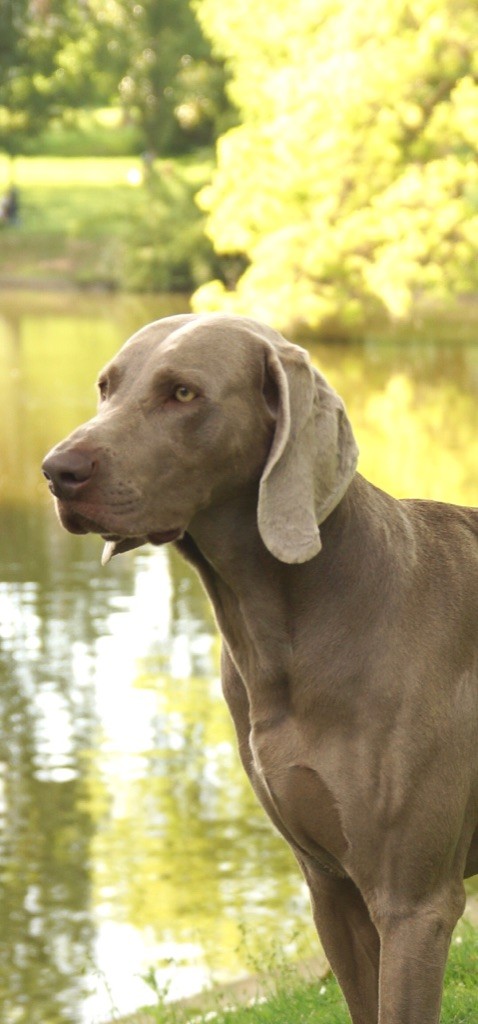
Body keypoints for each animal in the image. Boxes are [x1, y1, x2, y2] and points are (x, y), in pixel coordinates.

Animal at [42, 311, 478, 1024]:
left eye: (183, 393)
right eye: (106, 387)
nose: (57, 470)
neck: (285, 638)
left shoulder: (415, 905)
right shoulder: (331, 888)